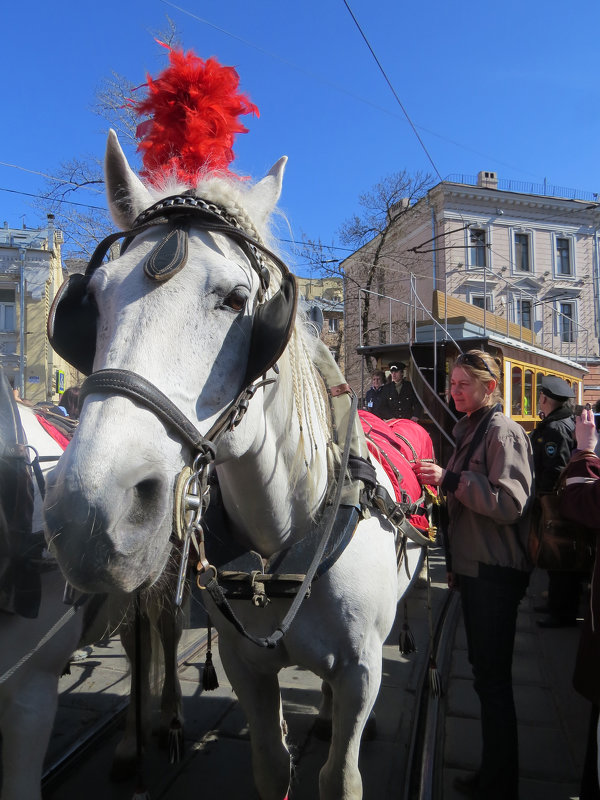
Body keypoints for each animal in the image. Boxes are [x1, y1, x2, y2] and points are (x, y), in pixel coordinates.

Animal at [44, 131, 428, 800]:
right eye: (90, 300)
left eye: (237, 298)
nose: (92, 515)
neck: (287, 536)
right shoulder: (245, 666)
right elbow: (271, 766)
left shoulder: (362, 672)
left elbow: (341, 776)